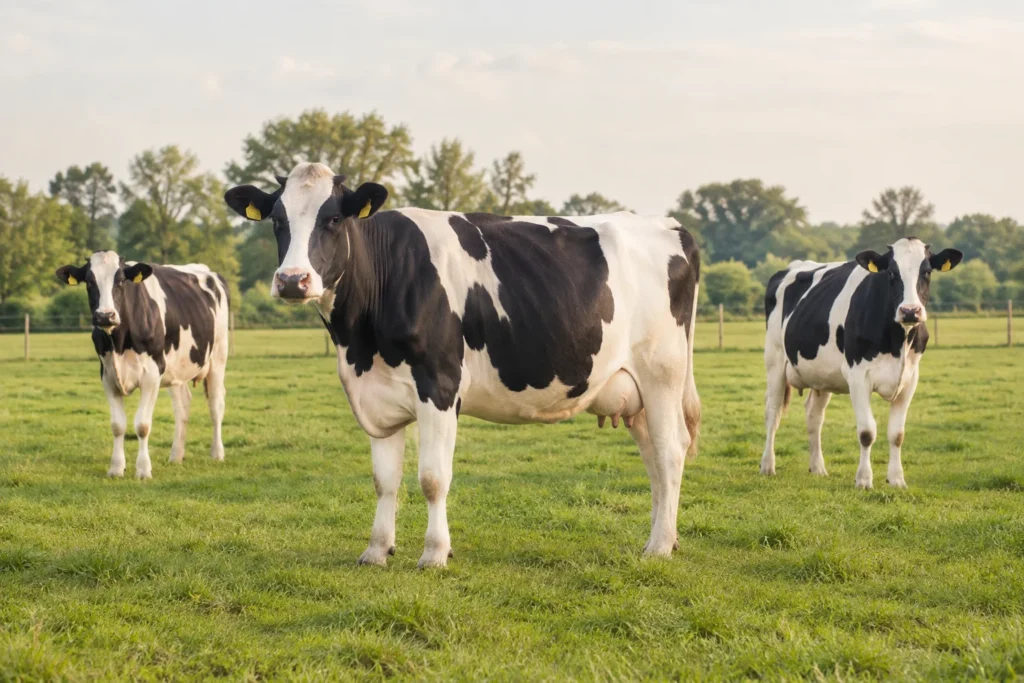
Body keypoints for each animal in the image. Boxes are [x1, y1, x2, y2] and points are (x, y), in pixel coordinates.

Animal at [55, 251, 230, 479]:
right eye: (89, 282)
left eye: (121, 280)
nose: (105, 315)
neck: (119, 342)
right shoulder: (108, 376)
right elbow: (117, 425)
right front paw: (116, 468)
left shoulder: (151, 375)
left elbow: (142, 425)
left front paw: (144, 470)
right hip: (176, 367)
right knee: (182, 406)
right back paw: (176, 455)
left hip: (218, 356)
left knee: (216, 405)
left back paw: (217, 453)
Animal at [224, 162, 701, 568]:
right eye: (277, 220)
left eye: (335, 219)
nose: (292, 280)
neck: (361, 340)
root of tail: (668, 224)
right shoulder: (375, 396)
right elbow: (384, 480)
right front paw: (377, 550)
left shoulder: (439, 385)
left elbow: (433, 478)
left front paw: (435, 553)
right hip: (634, 391)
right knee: (653, 457)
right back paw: (665, 536)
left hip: (662, 373)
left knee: (671, 450)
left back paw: (659, 546)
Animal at [760, 238, 963, 489]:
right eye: (891, 273)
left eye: (927, 272)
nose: (910, 311)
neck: (898, 342)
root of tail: (792, 266)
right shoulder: (858, 377)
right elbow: (867, 432)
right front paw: (864, 480)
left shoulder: (910, 378)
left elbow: (897, 434)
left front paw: (897, 479)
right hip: (775, 360)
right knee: (773, 413)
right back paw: (768, 466)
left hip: (822, 375)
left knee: (814, 417)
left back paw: (818, 468)